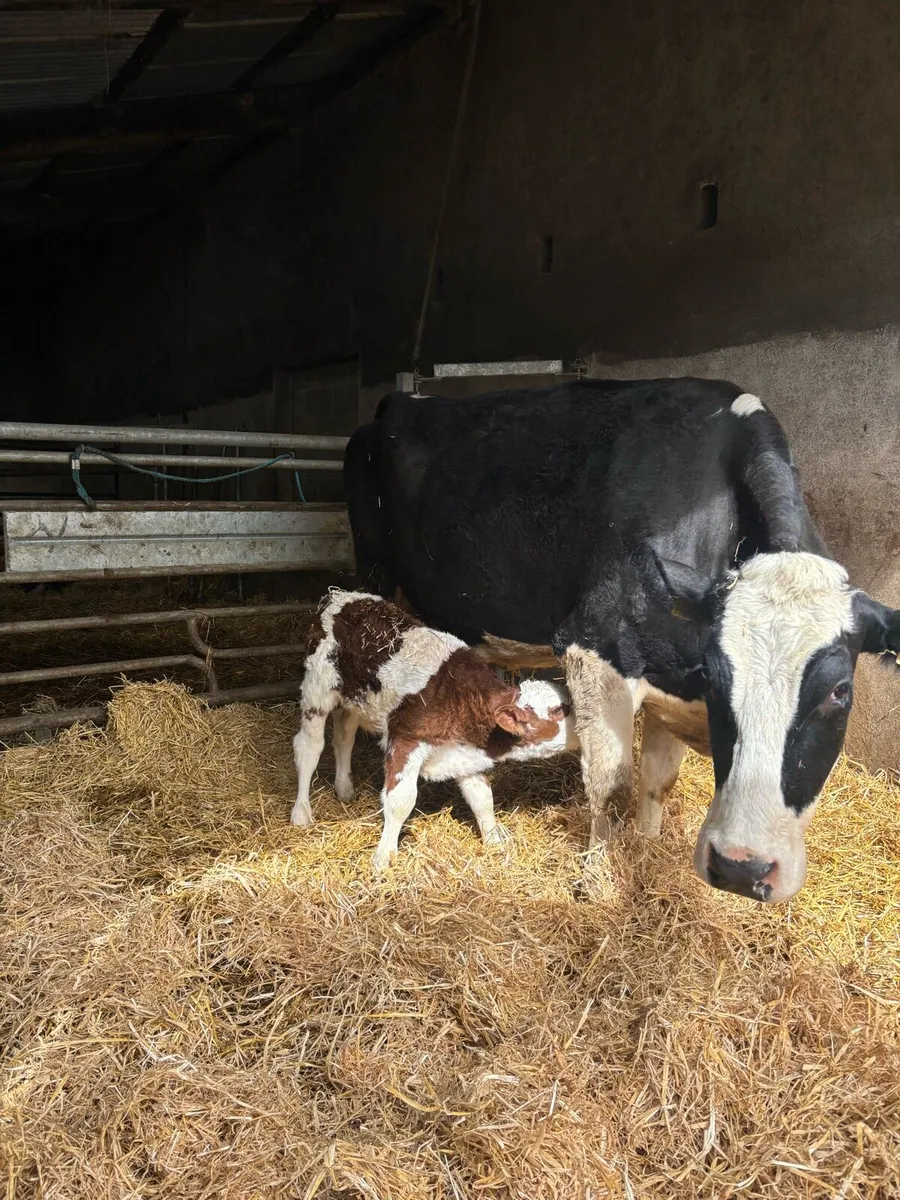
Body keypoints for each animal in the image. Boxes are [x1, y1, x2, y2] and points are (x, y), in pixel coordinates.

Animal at [292, 590, 579, 870]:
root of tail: (335, 596)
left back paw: (344, 788)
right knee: (309, 747)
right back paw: (301, 812)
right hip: (317, 689)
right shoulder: (405, 739)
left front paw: (495, 843)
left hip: (355, 699)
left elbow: (482, 798)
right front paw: (383, 857)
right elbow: (400, 800)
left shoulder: (465, 753)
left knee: (344, 736)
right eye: (559, 710)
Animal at [343, 377, 900, 903]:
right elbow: (611, 785)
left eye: (840, 692)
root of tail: (398, 402)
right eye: (718, 678)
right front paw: (599, 880)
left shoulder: (668, 683)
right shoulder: (595, 648)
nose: (743, 869)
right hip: (372, 573)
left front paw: (647, 851)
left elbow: (657, 782)